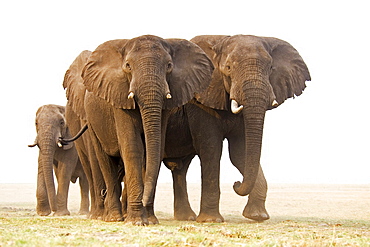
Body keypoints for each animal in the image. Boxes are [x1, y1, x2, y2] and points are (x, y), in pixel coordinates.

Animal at [82, 34, 212, 226]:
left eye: (169, 65)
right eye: (128, 66)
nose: (143, 200)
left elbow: (153, 151)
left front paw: (150, 220)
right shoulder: (119, 98)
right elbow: (133, 148)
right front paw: (137, 221)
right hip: (92, 121)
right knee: (105, 161)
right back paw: (114, 218)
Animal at [163, 34, 310, 222]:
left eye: (270, 68)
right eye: (228, 68)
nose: (236, 183)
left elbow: (241, 153)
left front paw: (257, 216)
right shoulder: (199, 103)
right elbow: (211, 149)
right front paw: (211, 221)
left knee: (180, 168)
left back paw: (186, 218)